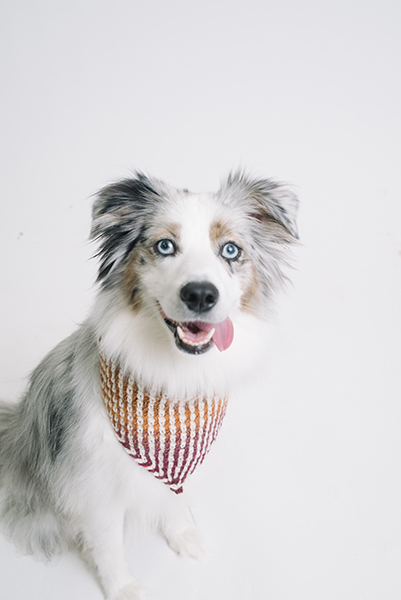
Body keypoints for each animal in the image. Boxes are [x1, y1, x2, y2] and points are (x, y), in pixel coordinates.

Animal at [0, 171, 296, 596]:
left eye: (230, 250)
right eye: (165, 245)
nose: (201, 294)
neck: (171, 379)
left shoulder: (178, 467)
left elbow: (171, 500)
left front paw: (184, 536)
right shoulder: (95, 488)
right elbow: (108, 545)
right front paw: (122, 587)